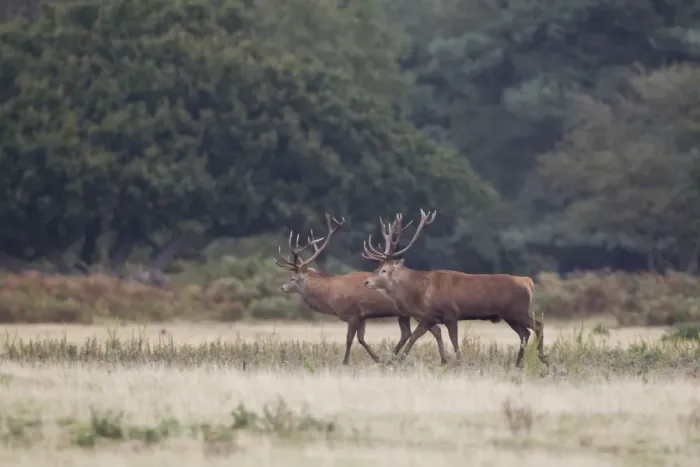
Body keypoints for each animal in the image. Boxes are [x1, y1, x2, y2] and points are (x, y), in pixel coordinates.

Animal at [274, 212, 448, 365]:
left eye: (293, 278)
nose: (282, 287)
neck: (331, 295)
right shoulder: (363, 315)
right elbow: (361, 339)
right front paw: (377, 359)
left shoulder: (353, 313)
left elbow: (350, 339)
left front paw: (345, 362)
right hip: (404, 314)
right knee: (414, 332)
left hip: (417, 310)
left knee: (433, 330)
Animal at [361, 209, 548, 368]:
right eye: (377, 267)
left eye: (384, 270)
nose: (367, 282)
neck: (421, 292)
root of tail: (527, 281)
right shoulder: (430, 316)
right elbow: (418, 335)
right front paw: (400, 359)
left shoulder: (450, 312)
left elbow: (452, 339)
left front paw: (458, 362)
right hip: (509, 315)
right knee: (524, 333)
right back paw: (518, 364)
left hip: (518, 310)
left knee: (537, 325)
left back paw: (543, 358)